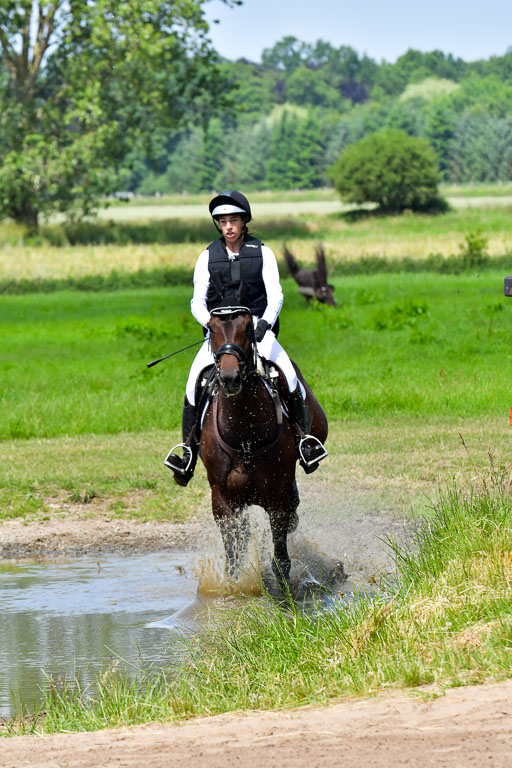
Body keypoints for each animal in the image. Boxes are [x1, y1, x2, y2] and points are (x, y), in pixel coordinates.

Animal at [199, 306, 328, 585]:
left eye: (248, 328)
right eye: (212, 329)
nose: (230, 377)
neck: (245, 436)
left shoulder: (277, 495)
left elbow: (281, 557)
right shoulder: (223, 500)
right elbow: (233, 556)